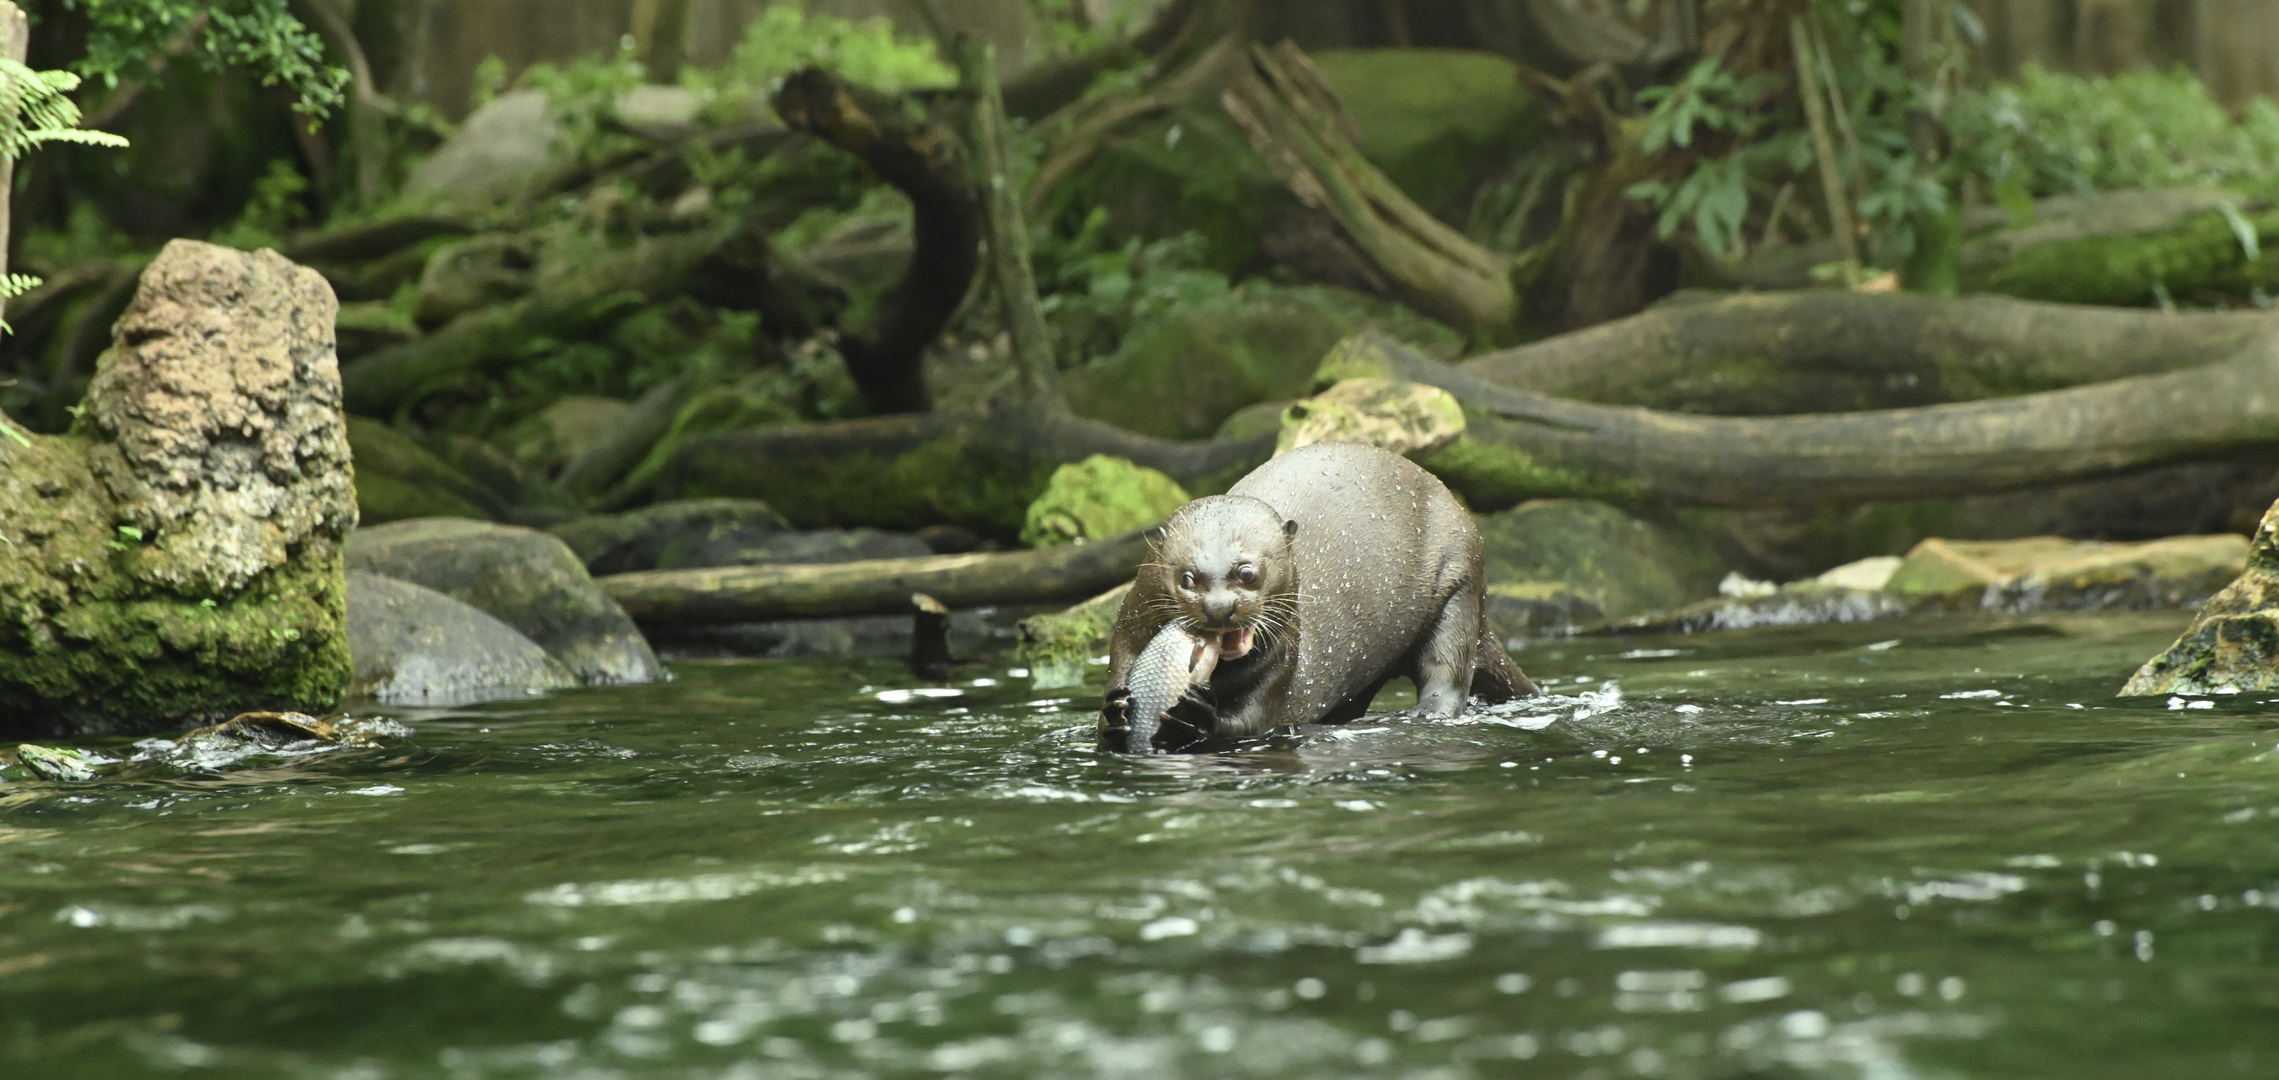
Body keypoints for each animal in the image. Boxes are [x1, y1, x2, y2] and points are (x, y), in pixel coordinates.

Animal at [1098, 439, 1531, 751]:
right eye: (1187, 578)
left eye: (1247, 573)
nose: (1219, 608)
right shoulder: (1126, 635)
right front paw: (1118, 713)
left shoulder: (1283, 660)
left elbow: (1252, 721)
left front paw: (1197, 718)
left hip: (1460, 576)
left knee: (1449, 667)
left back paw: (1423, 714)